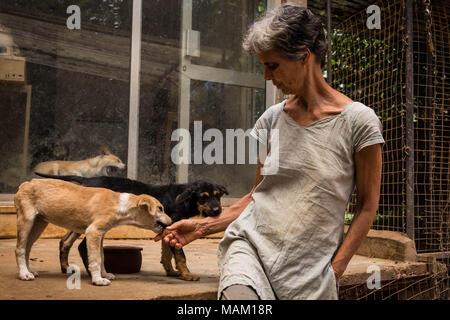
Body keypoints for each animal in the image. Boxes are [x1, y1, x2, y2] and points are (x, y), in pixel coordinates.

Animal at [14, 179, 172, 286]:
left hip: (39, 224)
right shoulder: (93, 232)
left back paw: (29, 271)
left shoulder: (100, 235)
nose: (171, 222)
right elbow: (95, 259)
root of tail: (25, 183)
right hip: (27, 220)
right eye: (160, 208)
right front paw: (98, 280)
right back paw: (24, 274)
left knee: (27, 248)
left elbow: (101, 257)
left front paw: (104, 274)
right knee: (20, 249)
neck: (120, 205)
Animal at [33, 172, 229, 280]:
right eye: (203, 197)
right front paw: (187, 275)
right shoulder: (173, 227)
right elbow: (180, 256)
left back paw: (65, 267)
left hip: (80, 220)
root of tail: (86, 180)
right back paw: (92, 273)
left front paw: (171, 271)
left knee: (65, 241)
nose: (218, 211)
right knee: (81, 245)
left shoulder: (167, 229)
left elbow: (166, 253)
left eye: (218, 196)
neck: (183, 200)